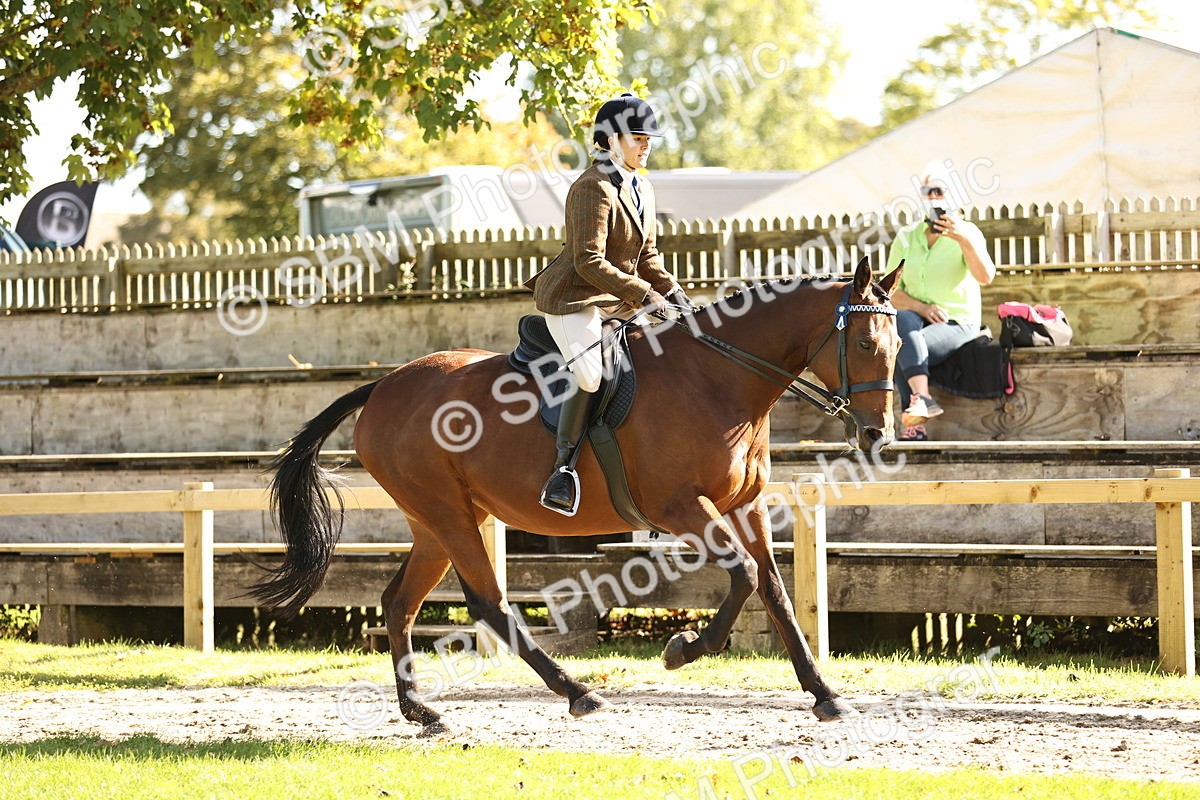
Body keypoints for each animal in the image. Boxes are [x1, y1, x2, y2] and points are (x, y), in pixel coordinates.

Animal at [251, 256, 903, 736]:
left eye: (897, 344)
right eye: (865, 344)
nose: (877, 434)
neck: (717, 377)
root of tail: (384, 385)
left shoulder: (744, 506)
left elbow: (774, 591)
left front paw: (824, 694)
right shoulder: (681, 508)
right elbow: (743, 575)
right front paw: (683, 649)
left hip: (437, 521)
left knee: (399, 602)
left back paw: (422, 710)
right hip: (448, 514)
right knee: (490, 603)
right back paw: (578, 693)